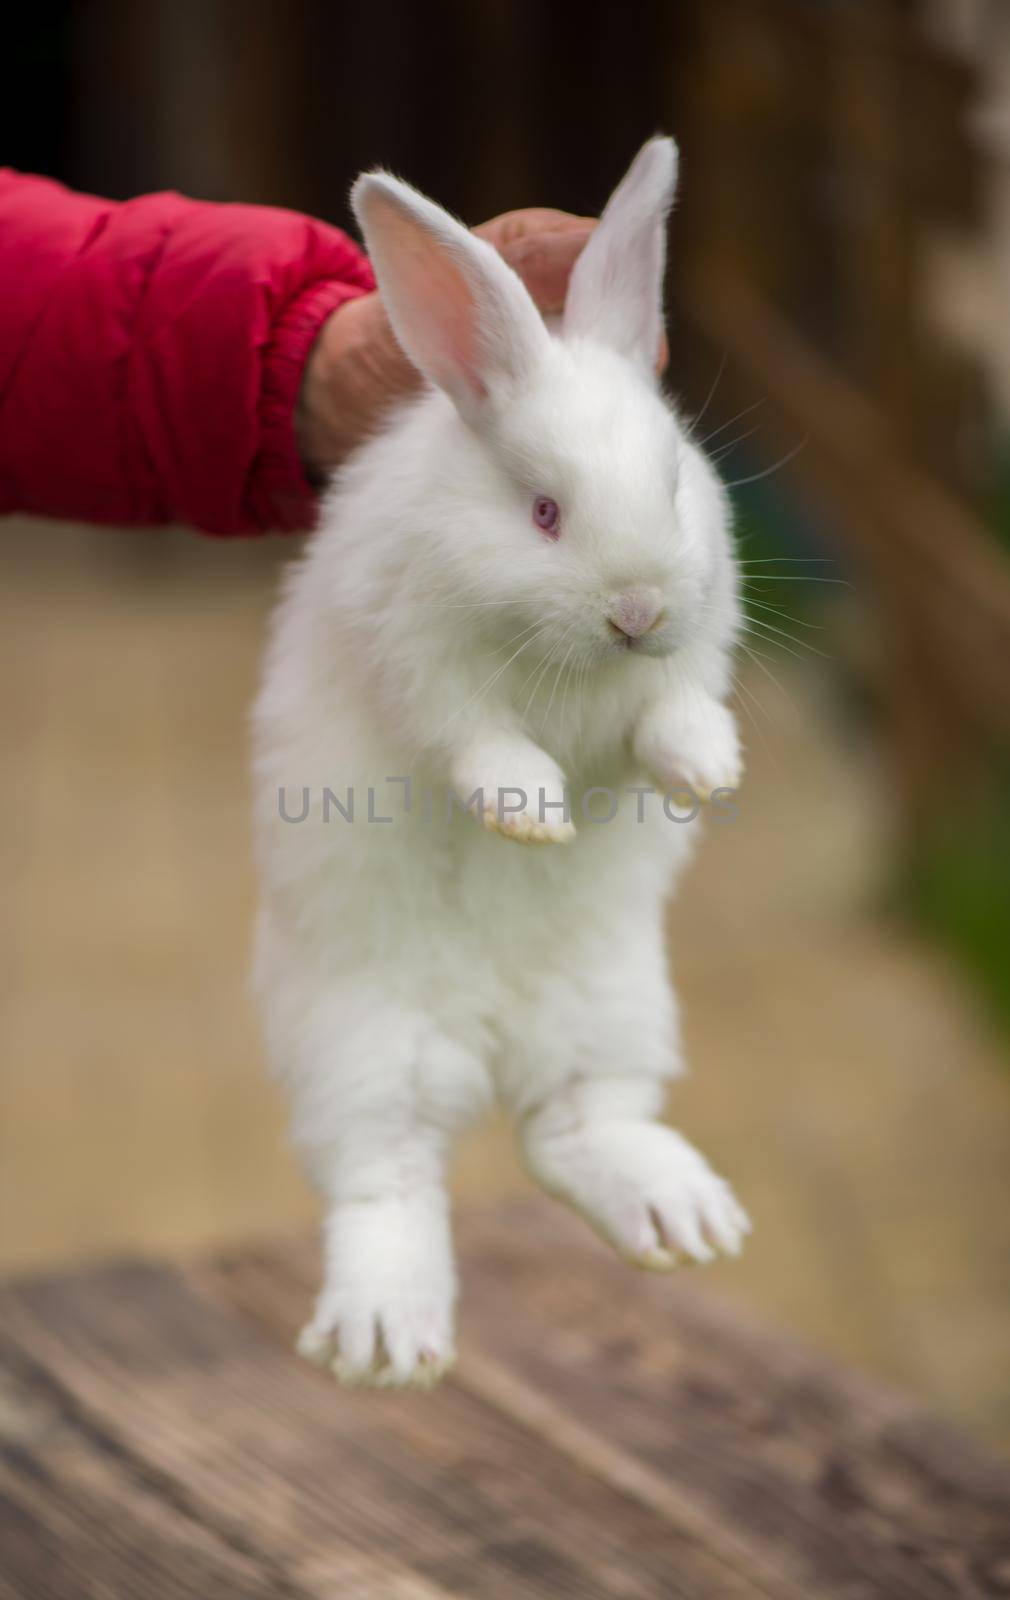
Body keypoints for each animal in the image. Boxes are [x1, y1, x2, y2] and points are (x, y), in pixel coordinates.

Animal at [249, 137, 745, 1388]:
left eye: (673, 484)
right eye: (543, 513)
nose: (635, 607)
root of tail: (487, 1045)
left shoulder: (687, 655)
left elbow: (672, 708)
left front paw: (704, 773)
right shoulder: (422, 671)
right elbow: (475, 741)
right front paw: (532, 814)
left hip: (613, 1009)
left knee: (574, 1131)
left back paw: (681, 1219)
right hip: (362, 1048)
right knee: (387, 1182)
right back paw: (387, 1337)